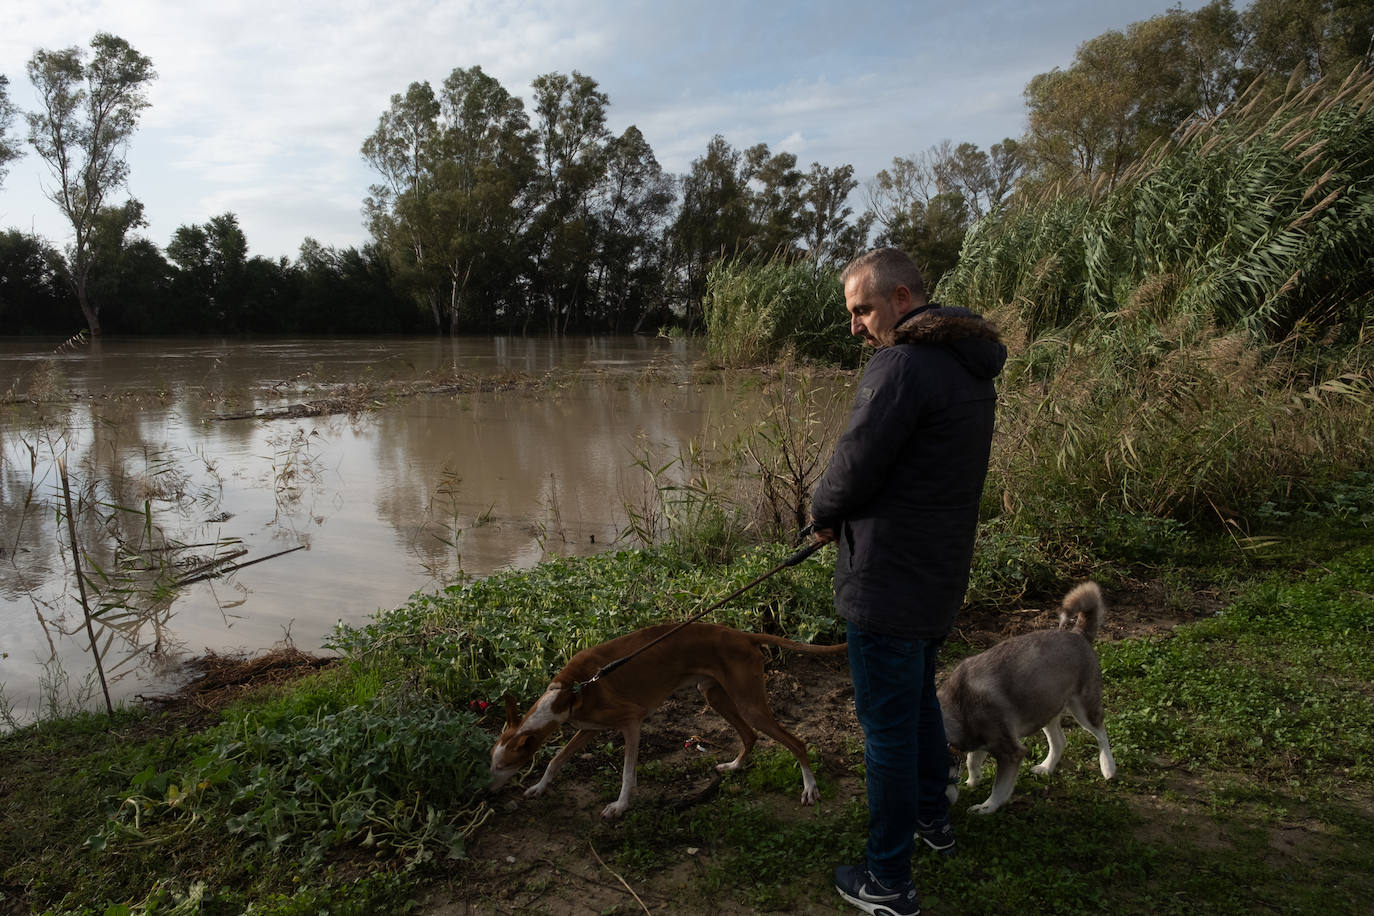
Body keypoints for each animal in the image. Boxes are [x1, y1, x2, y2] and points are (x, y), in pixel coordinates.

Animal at [489, 620, 840, 818]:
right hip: (715, 696)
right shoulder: (587, 730)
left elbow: (627, 774)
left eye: (503, 766)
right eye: (493, 763)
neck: (572, 691)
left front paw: (620, 806)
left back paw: (810, 788)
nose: (486, 791)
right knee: (750, 736)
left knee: (796, 743)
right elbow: (555, 760)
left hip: (749, 703)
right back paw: (735, 766)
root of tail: (743, 635)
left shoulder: (632, 721)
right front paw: (539, 788)